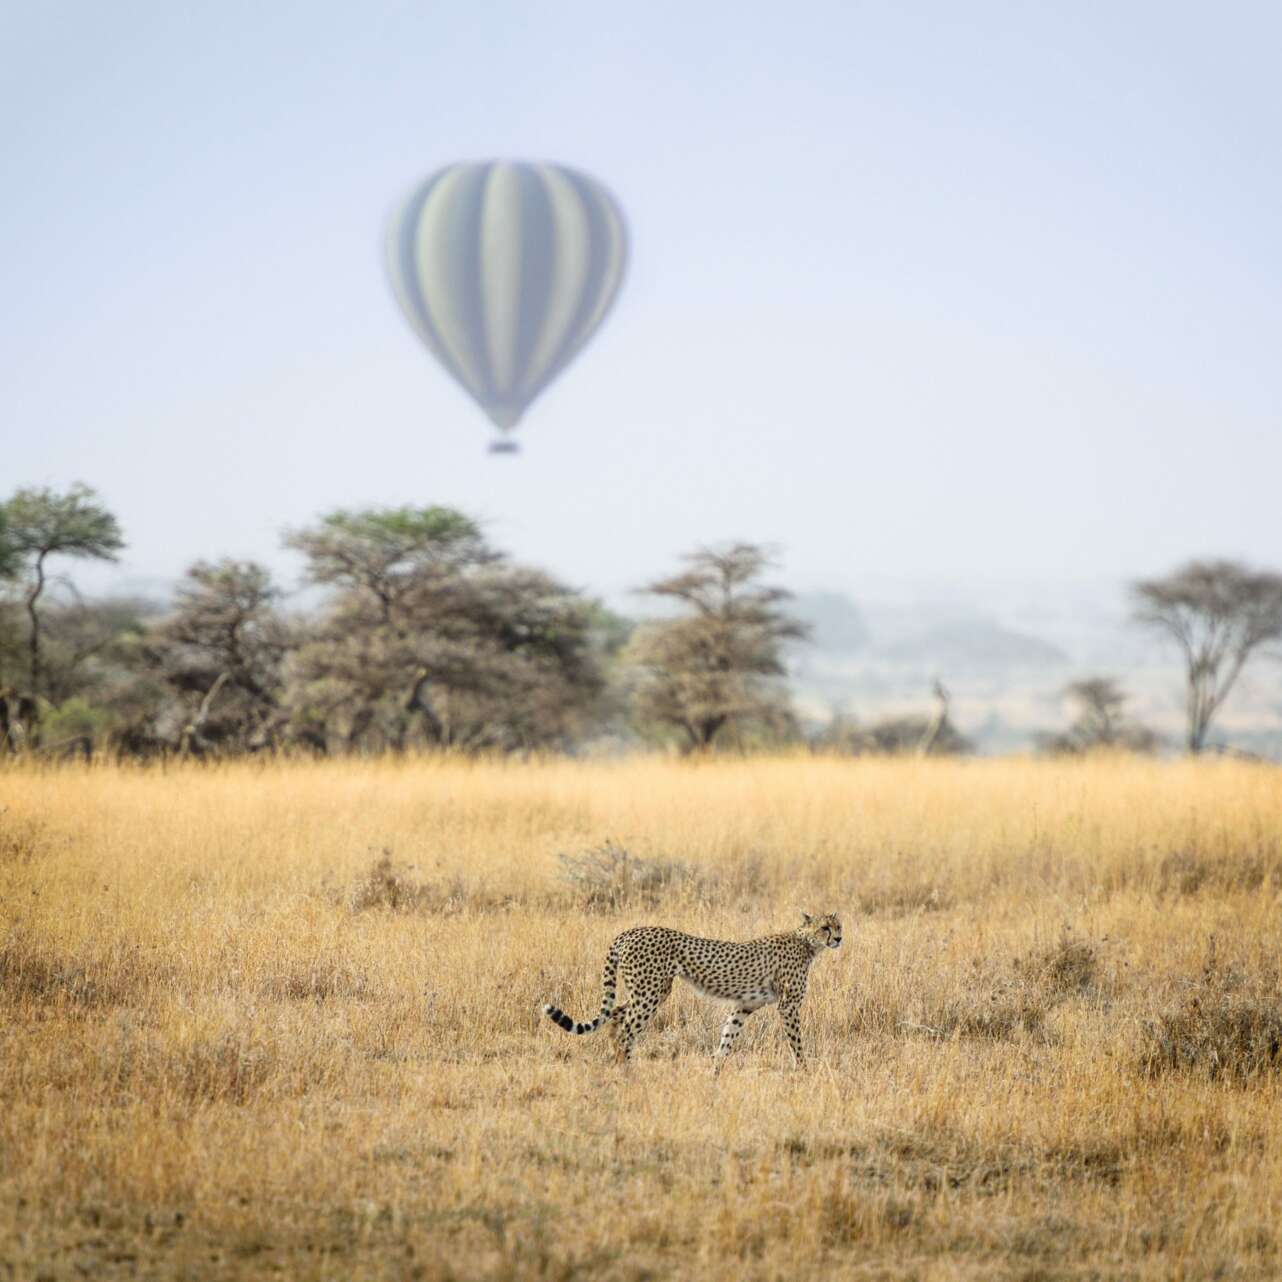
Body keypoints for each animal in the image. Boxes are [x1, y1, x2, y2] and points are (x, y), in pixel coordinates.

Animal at [541, 917, 840, 1066]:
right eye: (825, 927)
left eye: (839, 926)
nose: (839, 938)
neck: (806, 942)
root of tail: (628, 932)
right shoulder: (788, 1006)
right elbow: (797, 1043)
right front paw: (803, 1071)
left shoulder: (743, 1005)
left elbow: (727, 1038)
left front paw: (715, 1072)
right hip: (650, 992)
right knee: (626, 1031)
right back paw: (628, 1073)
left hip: (650, 991)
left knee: (615, 1015)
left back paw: (617, 1066)